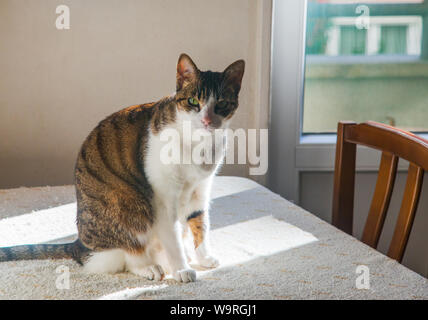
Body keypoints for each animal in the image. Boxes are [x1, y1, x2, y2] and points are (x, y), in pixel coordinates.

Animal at [0, 53, 244, 284]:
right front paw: (182, 269)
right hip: (132, 205)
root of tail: (79, 245)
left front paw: (203, 257)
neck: (199, 145)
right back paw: (151, 267)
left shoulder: (200, 189)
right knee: (129, 254)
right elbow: (173, 239)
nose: (207, 121)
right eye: (193, 101)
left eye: (221, 104)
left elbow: (200, 223)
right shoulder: (164, 199)